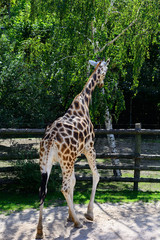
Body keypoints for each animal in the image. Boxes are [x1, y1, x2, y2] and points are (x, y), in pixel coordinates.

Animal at [35, 57, 110, 238]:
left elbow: (74, 182)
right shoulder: (89, 148)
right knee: (62, 187)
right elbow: (96, 176)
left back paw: (40, 230)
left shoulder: (73, 157)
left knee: (43, 188)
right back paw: (78, 223)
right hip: (66, 160)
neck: (84, 102)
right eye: (105, 70)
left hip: (47, 162)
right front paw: (88, 214)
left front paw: (70, 215)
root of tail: (50, 140)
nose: (102, 84)